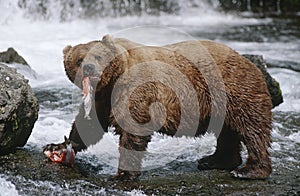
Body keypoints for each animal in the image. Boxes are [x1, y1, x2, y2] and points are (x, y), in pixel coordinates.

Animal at [45, 34, 274, 181]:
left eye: (99, 56)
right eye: (79, 59)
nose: (89, 68)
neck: (112, 81)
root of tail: (247, 60)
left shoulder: (134, 88)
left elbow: (133, 129)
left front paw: (123, 174)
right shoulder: (102, 98)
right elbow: (89, 124)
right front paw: (57, 146)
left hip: (232, 88)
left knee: (252, 128)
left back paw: (248, 171)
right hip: (221, 103)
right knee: (228, 131)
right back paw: (215, 161)